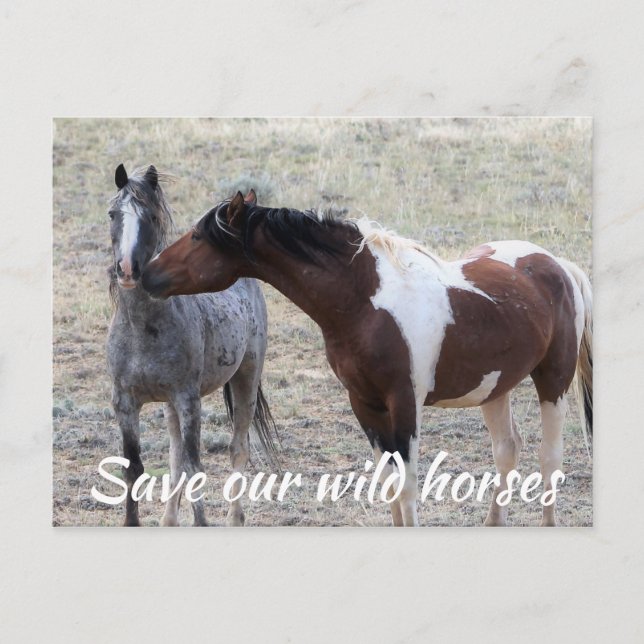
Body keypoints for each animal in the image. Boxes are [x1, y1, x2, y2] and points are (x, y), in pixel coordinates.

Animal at [106, 167, 277, 527]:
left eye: (151, 216)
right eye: (113, 214)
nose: (127, 270)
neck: (143, 329)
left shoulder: (189, 400)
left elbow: (195, 465)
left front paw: (202, 523)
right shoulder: (125, 402)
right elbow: (135, 468)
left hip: (246, 377)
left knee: (238, 447)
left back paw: (234, 518)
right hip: (170, 404)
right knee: (174, 458)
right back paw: (168, 520)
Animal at [142, 190, 593, 527]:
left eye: (198, 237)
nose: (147, 273)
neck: (364, 301)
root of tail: (558, 265)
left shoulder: (404, 402)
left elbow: (408, 484)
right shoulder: (365, 403)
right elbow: (389, 481)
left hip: (553, 381)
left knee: (549, 456)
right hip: (494, 388)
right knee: (507, 450)